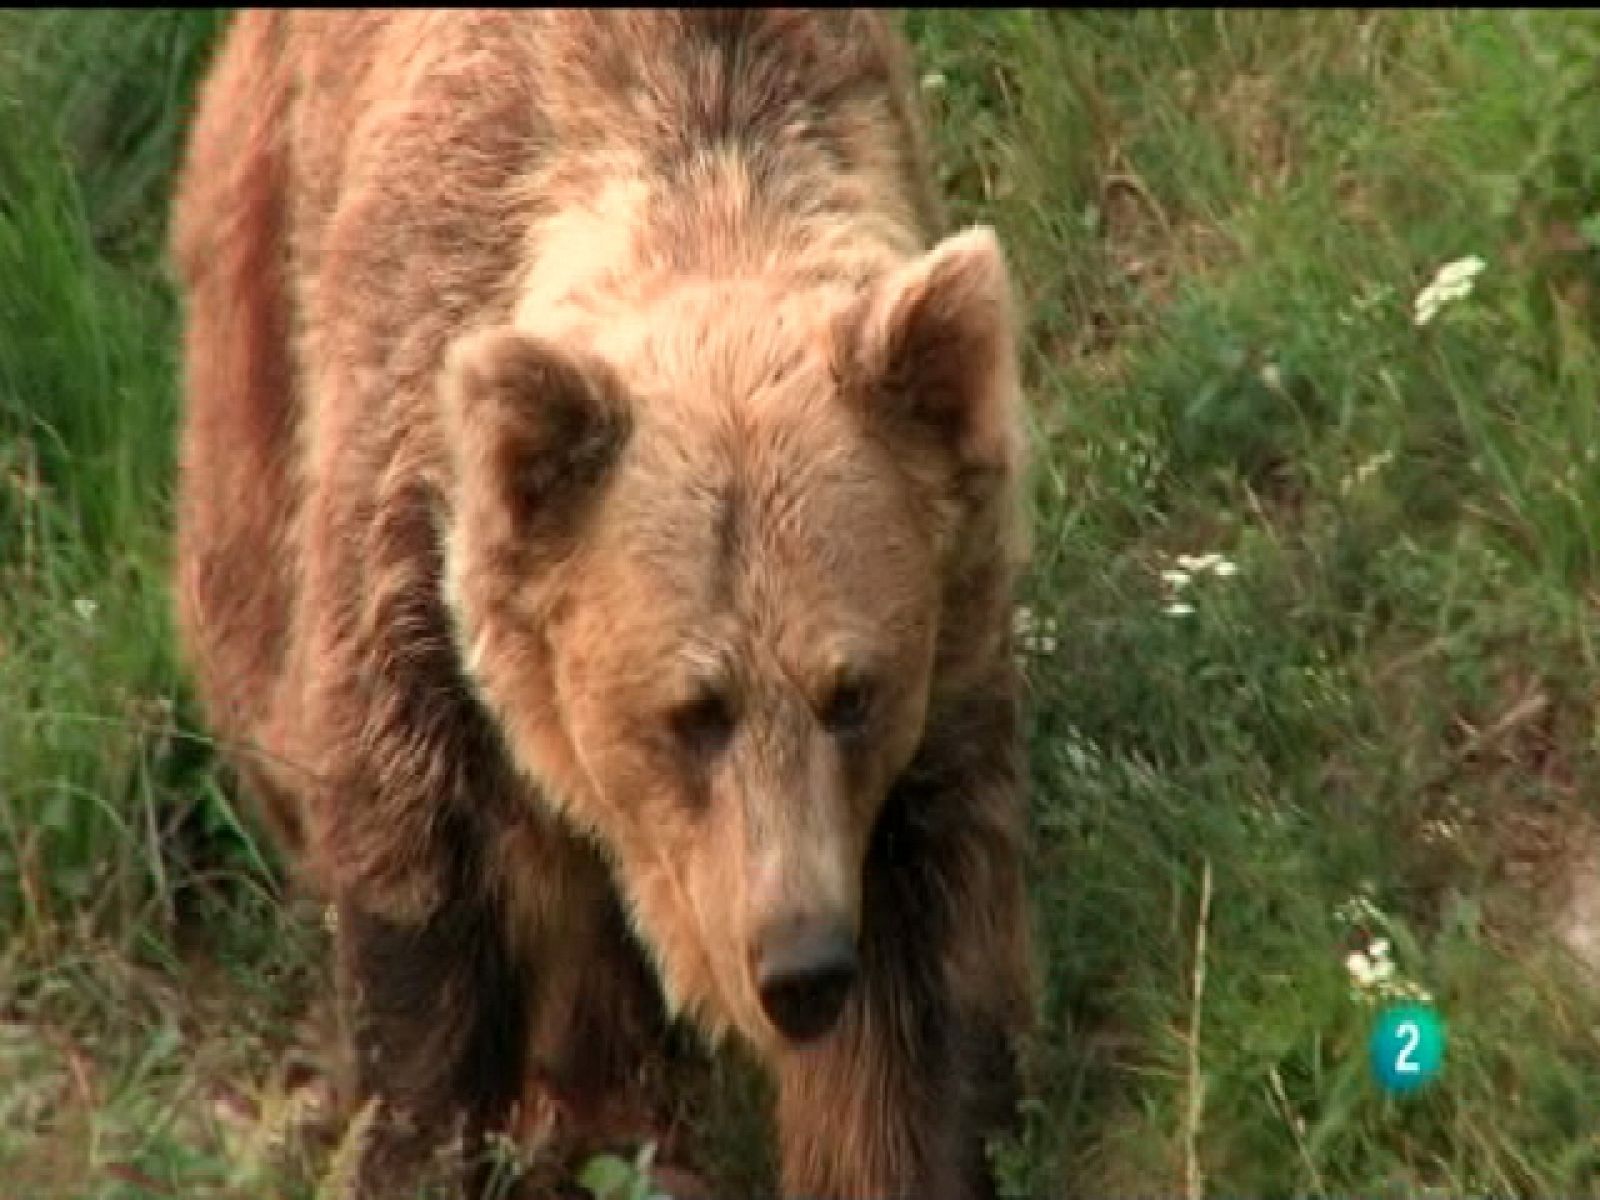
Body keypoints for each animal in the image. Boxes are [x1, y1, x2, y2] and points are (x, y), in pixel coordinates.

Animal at [172, 9, 1036, 1200]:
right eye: (692, 710)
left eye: (852, 692)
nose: (798, 964)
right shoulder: (414, 580)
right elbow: (425, 915)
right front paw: (422, 1134)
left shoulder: (927, 708)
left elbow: (909, 1015)